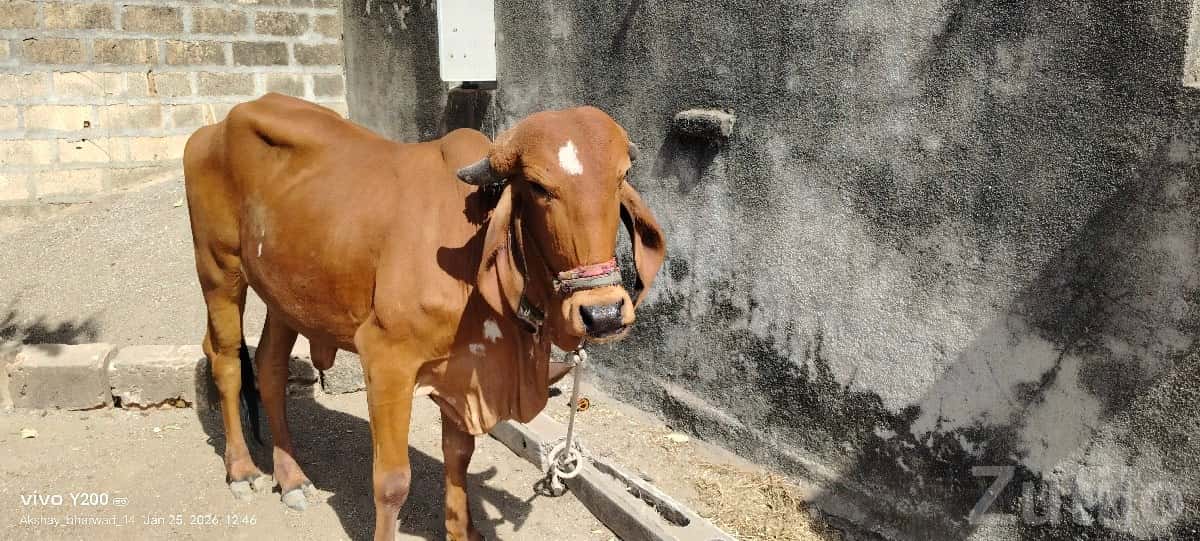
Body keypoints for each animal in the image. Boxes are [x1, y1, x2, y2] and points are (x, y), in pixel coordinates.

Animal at [182, 92, 666, 541]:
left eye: (622, 176)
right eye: (538, 186)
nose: (603, 313)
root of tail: (213, 128)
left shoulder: (463, 372)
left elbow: (459, 458)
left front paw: (461, 529)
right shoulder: (386, 359)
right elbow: (393, 481)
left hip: (286, 294)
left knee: (269, 365)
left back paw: (291, 478)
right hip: (219, 270)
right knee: (226, 361)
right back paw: (242, 471)